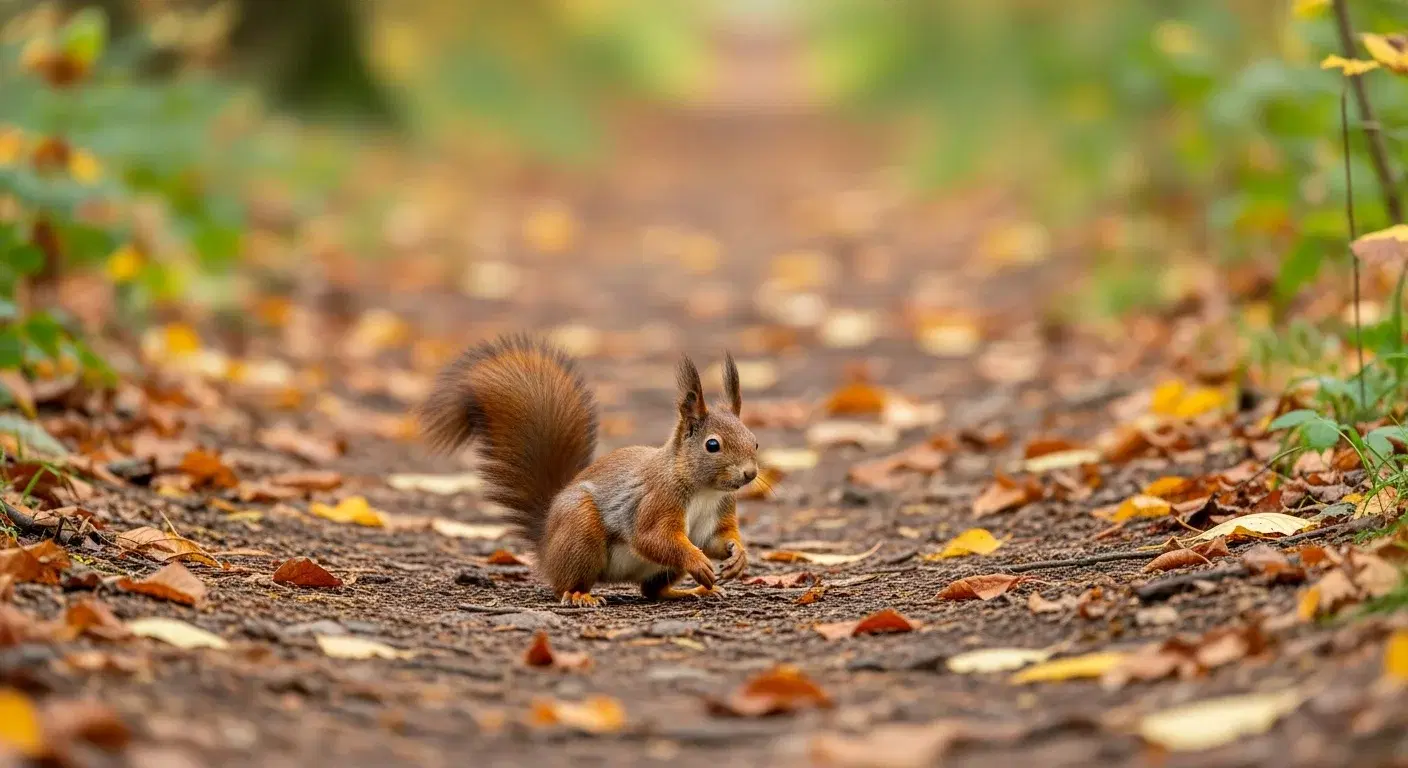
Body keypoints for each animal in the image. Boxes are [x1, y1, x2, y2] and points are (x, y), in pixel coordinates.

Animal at [418, 334, 758, 607]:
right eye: (712, 445)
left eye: (754, 441)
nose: (750, 474)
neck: (704, 489)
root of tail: (546, 545)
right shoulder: (657, 500)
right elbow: (653, 538)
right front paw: (697, 561)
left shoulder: (719, 511)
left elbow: (715, 539)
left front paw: (738, 555)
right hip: (580, 530)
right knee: (566, 585)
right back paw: (581, 596)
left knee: (652, 592)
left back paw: (689, 592)